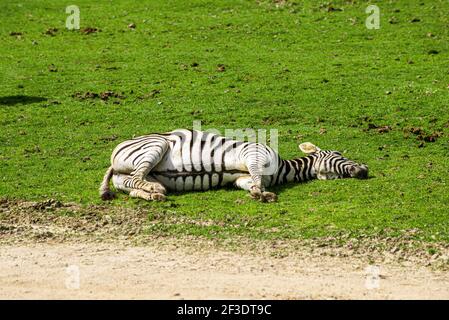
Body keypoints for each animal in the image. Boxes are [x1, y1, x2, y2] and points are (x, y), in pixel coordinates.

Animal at [99, 128, 368, 201]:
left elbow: (251, 182)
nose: (364, 170)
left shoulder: (242, 177)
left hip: (126, 177)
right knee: (137, 177)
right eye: (339, 154)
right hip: (156, 146)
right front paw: (262, 194)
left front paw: (257, 192)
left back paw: (153, 193)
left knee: (133, 184)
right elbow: (258, 179)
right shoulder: (254, 155)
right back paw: (154, 191)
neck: (281, 170)